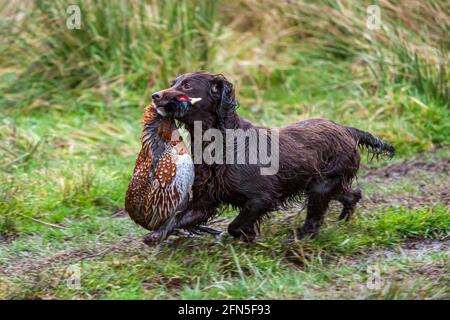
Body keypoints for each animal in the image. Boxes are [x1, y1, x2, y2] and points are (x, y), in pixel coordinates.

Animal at [147, 72, 394, 242]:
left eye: (187, 85)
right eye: (173, 83)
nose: (154, 95)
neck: (223, 143)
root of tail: (347, 129)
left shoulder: (262, 198)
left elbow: (235, 225)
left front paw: (247, 236)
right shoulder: (205, 200)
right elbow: (178, 217)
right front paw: (155, 236)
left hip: (321, 186)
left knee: (314, 221)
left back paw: (297, 239)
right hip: (324, 183)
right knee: (352, 194)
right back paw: (343, 220)